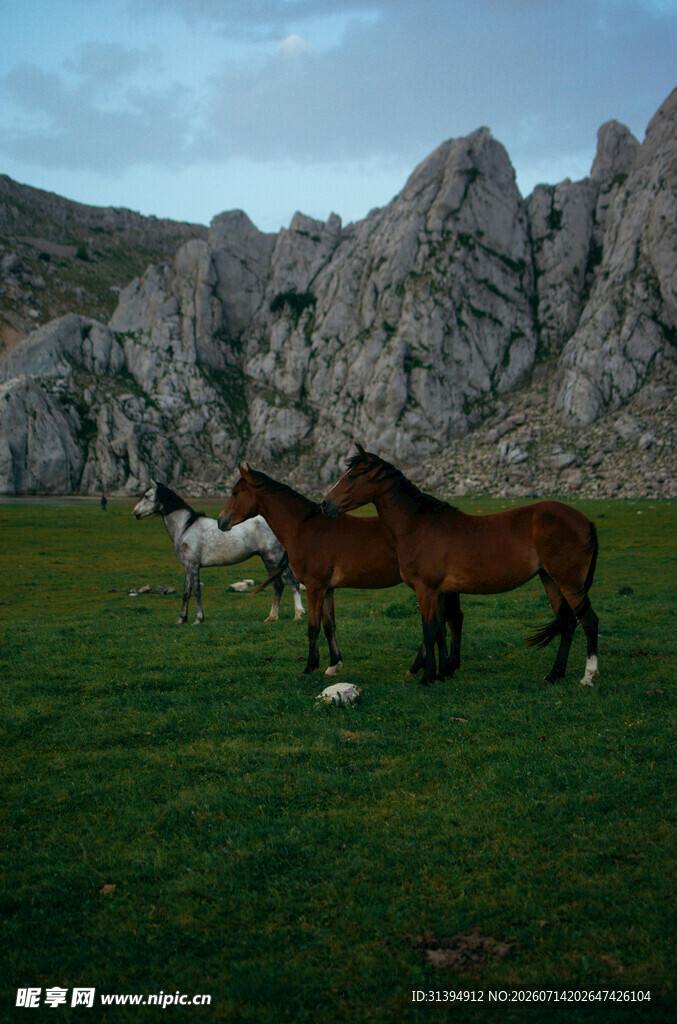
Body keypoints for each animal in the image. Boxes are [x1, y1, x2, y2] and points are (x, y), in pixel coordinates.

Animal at [132, 481, 304, 625]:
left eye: (147, 496)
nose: (135, 513)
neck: (186, 527)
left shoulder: (193, 566)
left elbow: (196, 591)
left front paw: (198, 619)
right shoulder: (188, 566)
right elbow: (186, 592)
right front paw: (181, 619)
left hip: (274, 558)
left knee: (292, 583)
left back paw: (298, 614)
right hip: (269, 561)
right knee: (278, 585)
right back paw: (272, 617)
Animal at [216, 464, 454, 677]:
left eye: (235, 492)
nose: (221, 521)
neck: (304, 528)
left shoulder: (314, 587)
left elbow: (313, 627)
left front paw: (310, 666)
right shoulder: (327, 588)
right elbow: (330, 625)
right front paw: (333, 665)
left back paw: (419, 668)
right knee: (441, 625)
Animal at [321, 445, 600, 688]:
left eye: (352, 476)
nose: (325, 504)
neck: (418, 525)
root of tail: (585, 521)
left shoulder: (426, 590)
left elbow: (429, 631)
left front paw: (427, 677)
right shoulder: (440, 592)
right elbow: (441, 629)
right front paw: (441, 671)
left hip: (569, 583)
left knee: (588, 620)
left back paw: (588, 677)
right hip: (550, 580)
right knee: (567, 623)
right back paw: (553, 675)